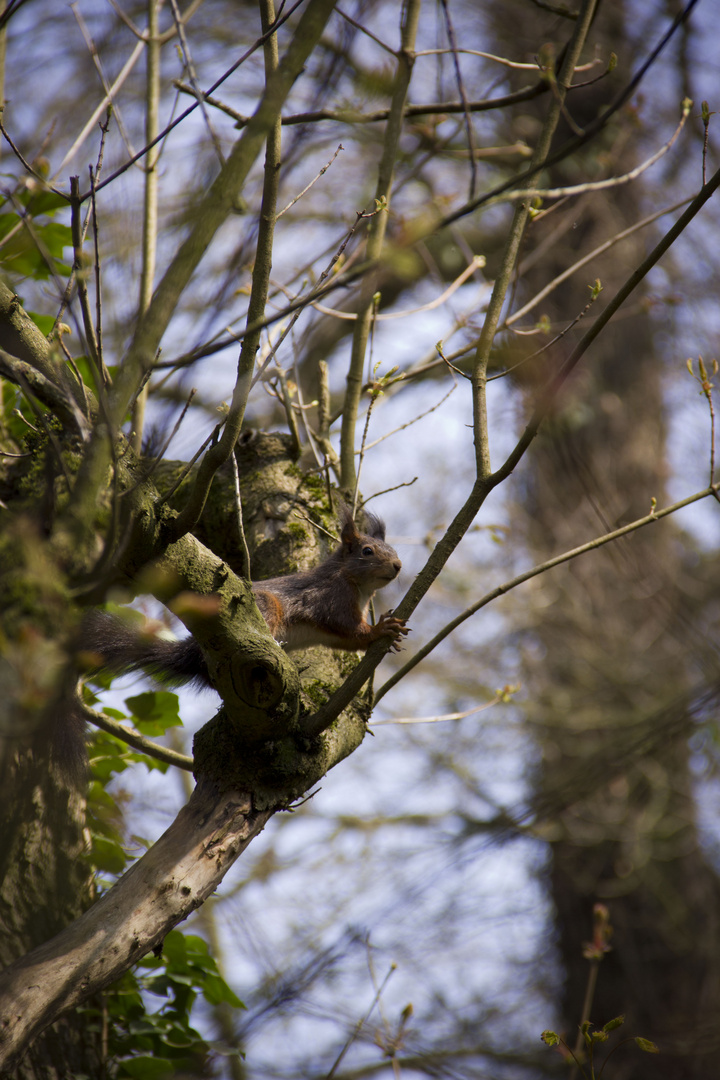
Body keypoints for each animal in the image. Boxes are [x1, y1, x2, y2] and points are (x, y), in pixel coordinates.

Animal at [85, 498, 405, 691]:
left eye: (393, 550)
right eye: (367, 551)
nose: (398, 565)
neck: (359, 586)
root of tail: (191, 648)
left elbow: (344, 641)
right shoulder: (331, 599)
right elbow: (347, 628)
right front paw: (380, 629)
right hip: (265, 608)